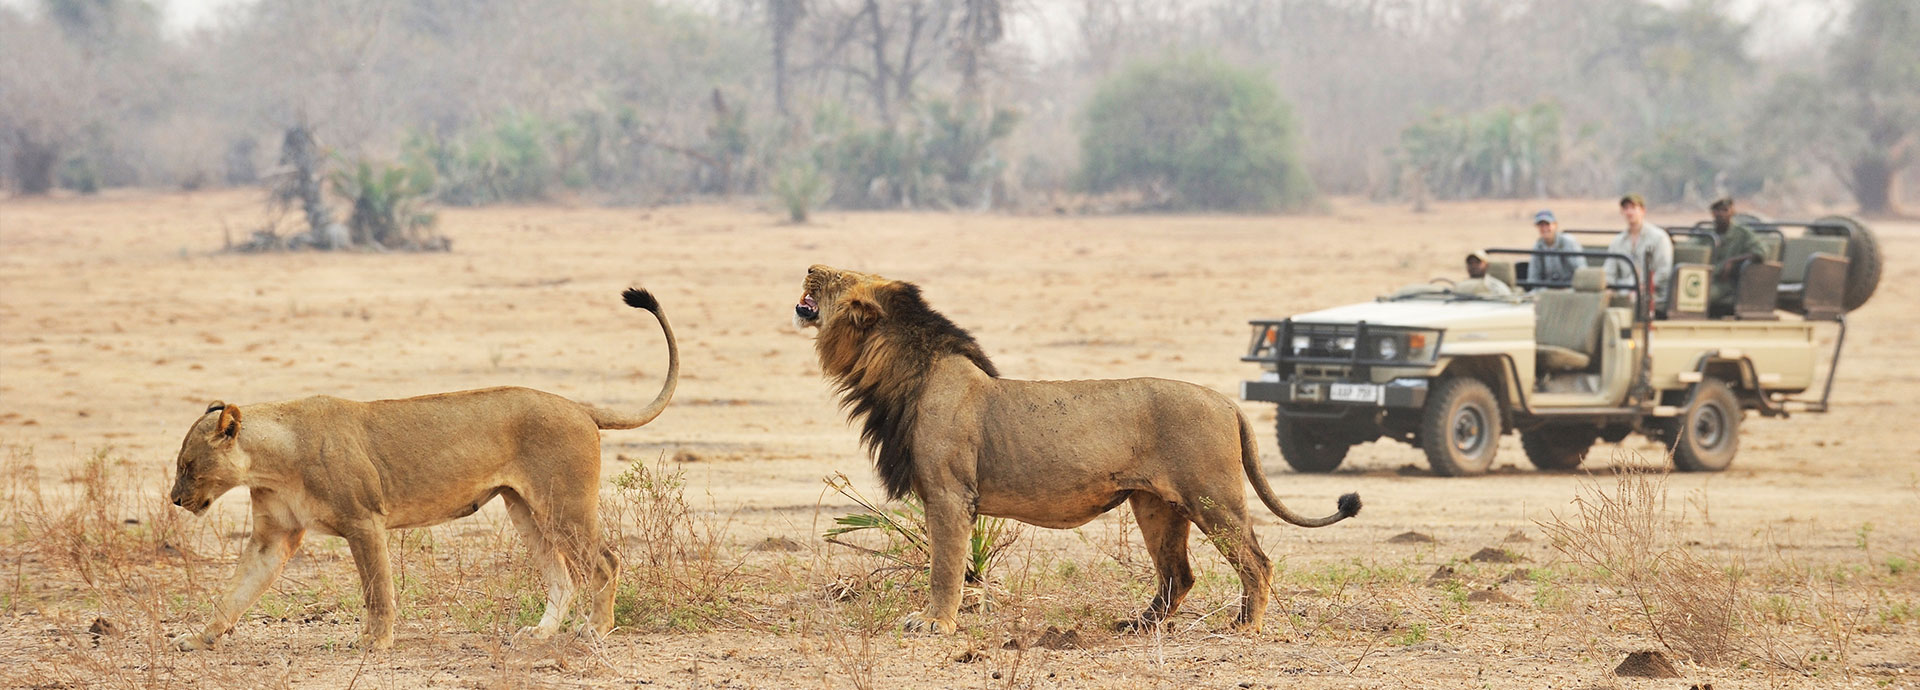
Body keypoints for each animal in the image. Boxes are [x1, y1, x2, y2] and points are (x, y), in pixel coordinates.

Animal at [165, 288, 679, 653]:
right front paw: (197, 637)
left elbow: (378, 590)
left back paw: (595, 631)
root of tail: (579, 406)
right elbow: (234, 592)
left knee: (606, 561)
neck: (270, 463)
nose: (175, 498)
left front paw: (375, 642)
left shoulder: (364, 520)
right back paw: (540, 634)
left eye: (188, 465)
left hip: (563, 503)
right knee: (562, 576)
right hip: (525, 508)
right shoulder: (273, 538)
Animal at [794, 267, 1367, 634]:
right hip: (1157, 506)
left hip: (1212, 497)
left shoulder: (950, 495)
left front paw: (935, 624)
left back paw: (1245, 626)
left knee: (1256, 560)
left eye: (836, 277)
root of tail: (1226, 401)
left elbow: (945, 566)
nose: (810, 265)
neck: (897, 373)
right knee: (1179, 574)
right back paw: (1138, 625)